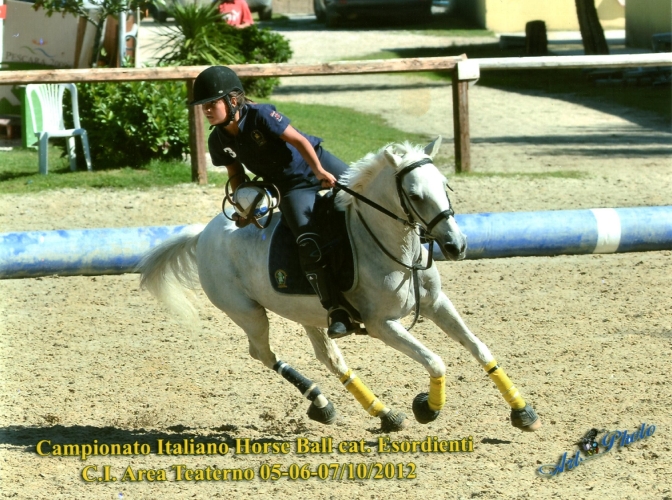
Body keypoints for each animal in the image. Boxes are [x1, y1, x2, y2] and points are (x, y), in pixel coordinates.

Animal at [140, 138, 540, 434]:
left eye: (445, 186)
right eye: (415, 194)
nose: (457, 246)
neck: (391, 244)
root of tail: (202, 233)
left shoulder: (437, 303)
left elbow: (480, 349)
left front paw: (522, 411)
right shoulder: (382, 325)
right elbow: (436, 361)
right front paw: (427, 407)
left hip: (309, 314)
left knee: (330, 358)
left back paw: (381, 413)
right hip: (248, 313)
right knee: (264, 355)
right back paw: (323, 400)